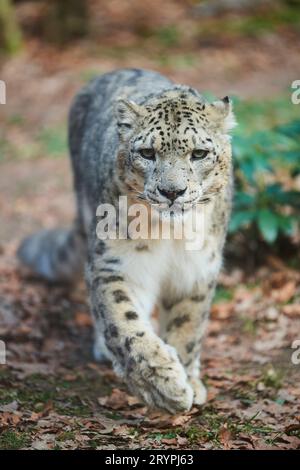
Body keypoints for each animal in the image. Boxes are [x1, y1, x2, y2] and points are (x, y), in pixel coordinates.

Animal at [17, 68, 236, 414]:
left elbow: (188, 326)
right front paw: (164, 385)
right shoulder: (116, 265)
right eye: (147, 153)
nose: (172, 192)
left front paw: (188, 378)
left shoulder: (197, 270)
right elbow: (125, 323)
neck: (170, 237)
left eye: (199, 153)